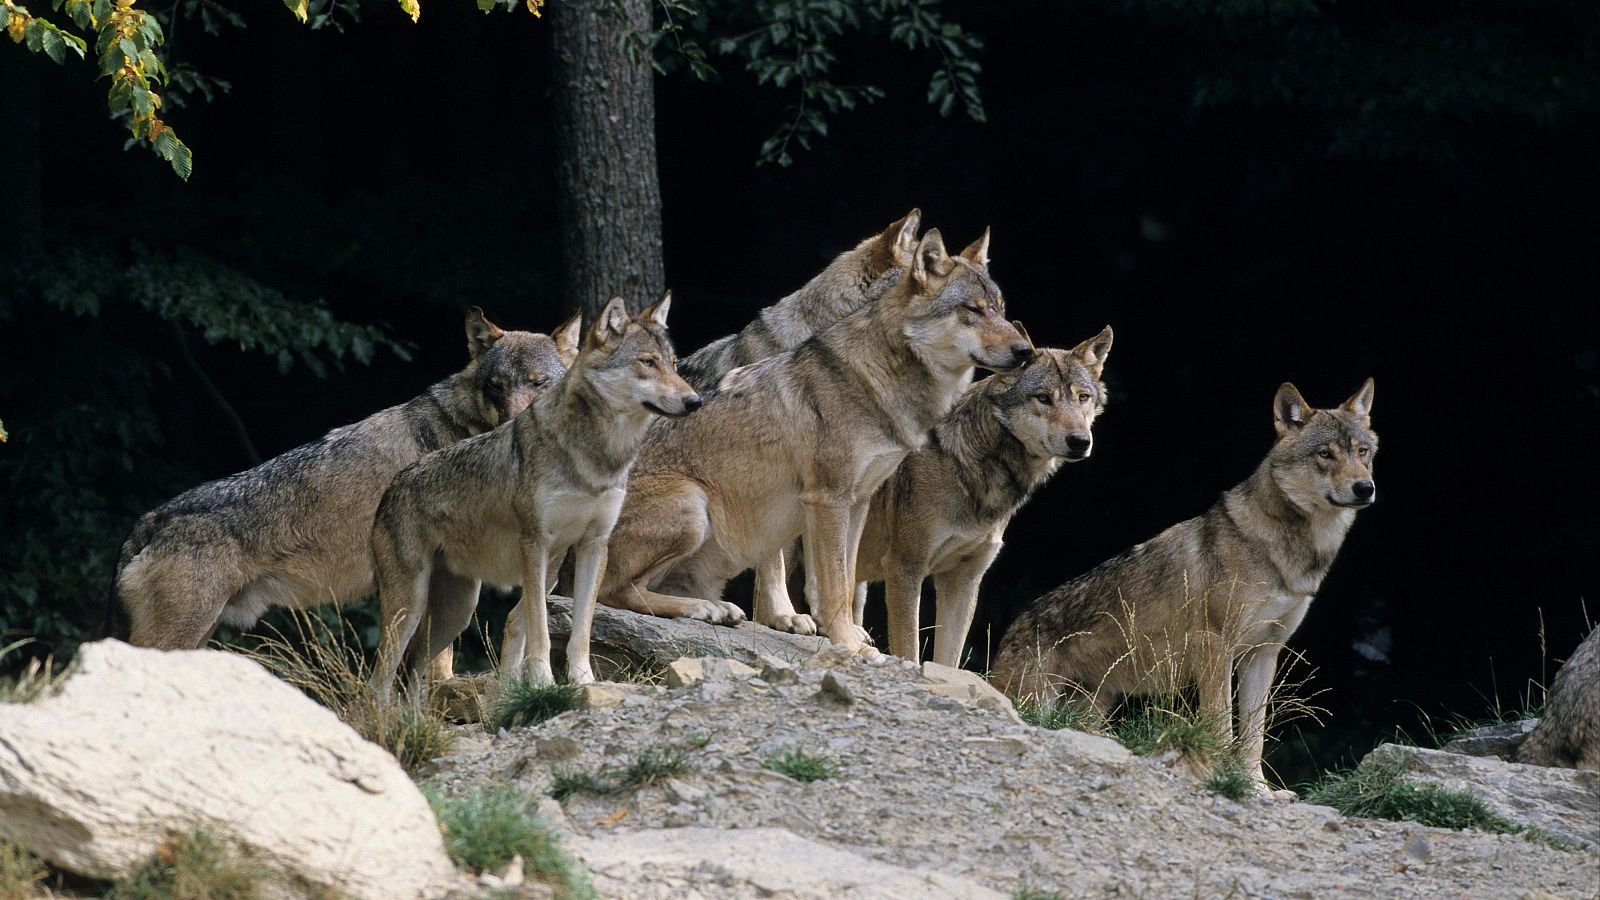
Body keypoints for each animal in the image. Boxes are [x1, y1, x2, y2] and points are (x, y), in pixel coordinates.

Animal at [367, 295, 699, 694]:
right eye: (647, 362)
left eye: (674, 364)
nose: (695, 401)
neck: (596, 458)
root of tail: (391, 487)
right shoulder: (535, 544)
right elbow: (539, 626)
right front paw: (542, 682)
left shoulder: (593, 546)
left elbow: (580, 627)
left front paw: (583, 680)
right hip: (410, 610)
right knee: (378, 682)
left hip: (455, 614)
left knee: (412, 677)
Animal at [596, 229, 1032, 655]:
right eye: (973, 310)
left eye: (1001, 309)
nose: (1026, 350)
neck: (877, 380)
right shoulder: (827, 499)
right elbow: (832, 583)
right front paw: (845, 644)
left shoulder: (857, 501)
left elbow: (845, 582)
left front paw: (849, 637)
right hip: (693, 503)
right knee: (612, 592)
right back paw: (705, 609)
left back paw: (715, 609)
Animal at [843, 327, 1113, 667]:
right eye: (1043, 398)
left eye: (1083, 397)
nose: (1079, 441)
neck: (969, 466)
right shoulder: (905, 569)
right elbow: (910, 651)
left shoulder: (963, 580)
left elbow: (948, 659)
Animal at [992, 378, 1378, 790]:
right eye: (1325, 454)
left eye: (1362, 452)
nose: (1365, 488)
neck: (1287, 553)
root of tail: (1013, 626)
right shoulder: (1215, 647)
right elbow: (1222, 724)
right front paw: (1222, 772)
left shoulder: (1263, 653)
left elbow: (1254, 735)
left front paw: (1257, 786)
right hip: (1038, 700)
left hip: (1093, 706)